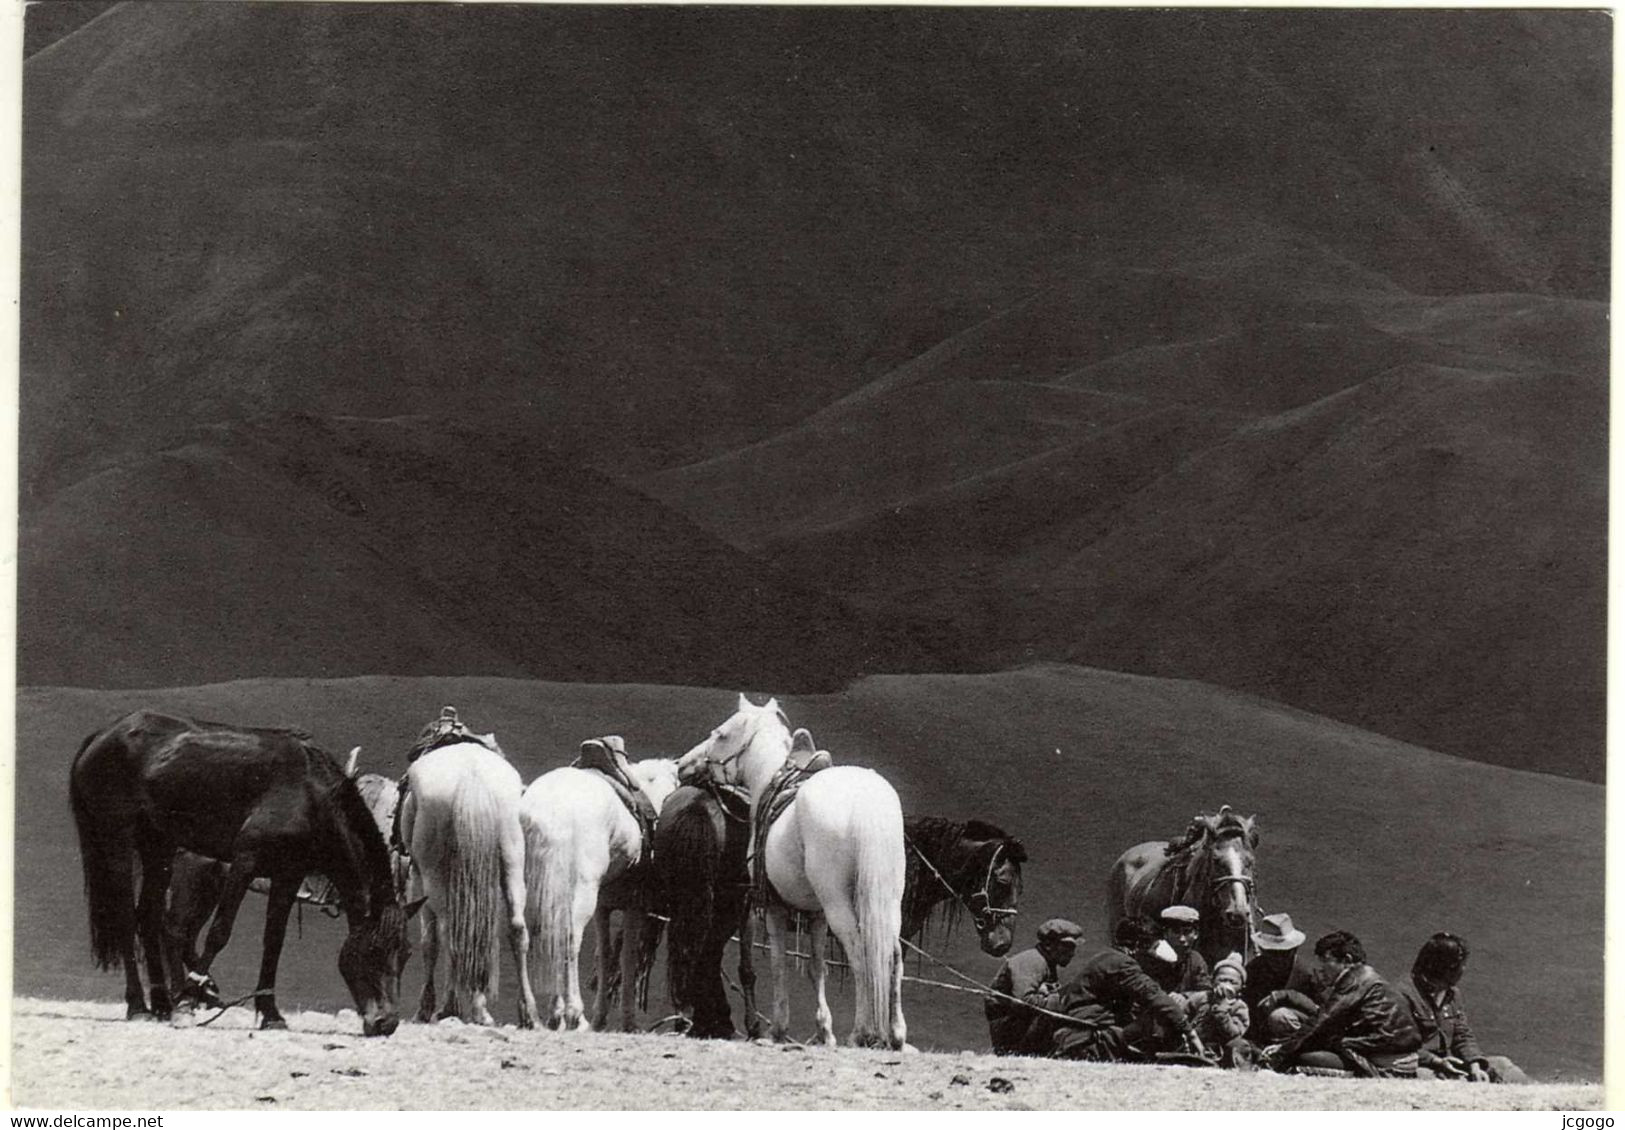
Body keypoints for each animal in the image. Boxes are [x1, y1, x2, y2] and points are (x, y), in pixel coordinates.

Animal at [69, 712, 419, 1040]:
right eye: (373, 952)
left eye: (405, 955)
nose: (386, 1023)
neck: (308, 794)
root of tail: (102, 735)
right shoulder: (244, 863)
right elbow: (219, 932)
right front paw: (188, 1001)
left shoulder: (288, 875)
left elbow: (273, 941)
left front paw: (270, 1012)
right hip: (119, 842)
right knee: (130, 920)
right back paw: (141, 1006)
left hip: (158, 847)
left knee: (149, 918)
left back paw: (161, 1004)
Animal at [399, 741, 539, 1034]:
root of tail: (471, 776)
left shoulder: (418, 877)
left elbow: (429, 942)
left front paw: (424, 1008)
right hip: (512, 859)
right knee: (514, 929)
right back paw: (525, 1013)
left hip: (432, 874)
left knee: (449, 931)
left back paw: (451, 1006)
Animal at [516, 747, 676, 1027]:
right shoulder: (633, 905)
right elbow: (626, 956)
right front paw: (627, 1020)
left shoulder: (604, 906)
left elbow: (605, 955)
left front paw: (599, 1016)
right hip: (581, 892)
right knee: (570, 939)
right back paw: (574, 1014)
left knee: (532, 936)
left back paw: (541, 1015)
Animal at [676, 699, 916, 1053]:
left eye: (720, 735)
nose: (682, 765)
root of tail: (864, 801)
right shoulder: (816, 914)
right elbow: (817, 966)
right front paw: (823, 1031)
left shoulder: (773, 908)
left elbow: (778, 964)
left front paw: (778, 1029)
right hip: (886, 901)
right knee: (893, 955)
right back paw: (897, 1034)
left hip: (838, 903)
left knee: (859, 953)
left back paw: (862, 1032)